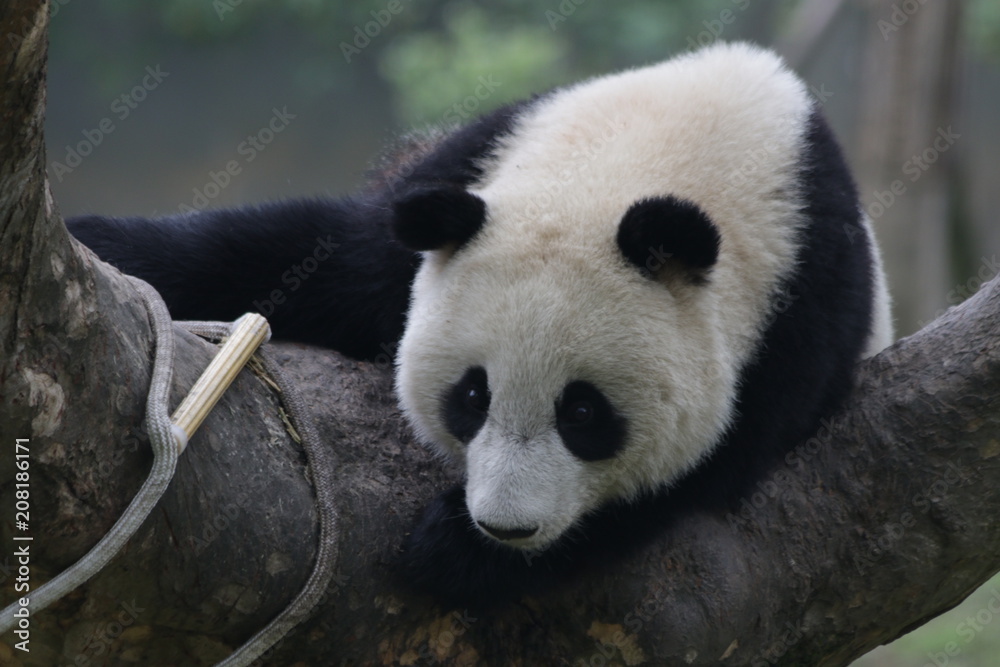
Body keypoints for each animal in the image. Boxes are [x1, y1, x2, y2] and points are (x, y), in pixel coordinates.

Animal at [69, 42, 892, 610]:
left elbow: (695, 473)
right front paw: (99, 241)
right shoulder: (473, 166)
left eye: (584, 412)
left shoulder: (798, 312)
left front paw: (454, 551)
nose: (507, 527)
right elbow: (311, 251)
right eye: (471, 396)